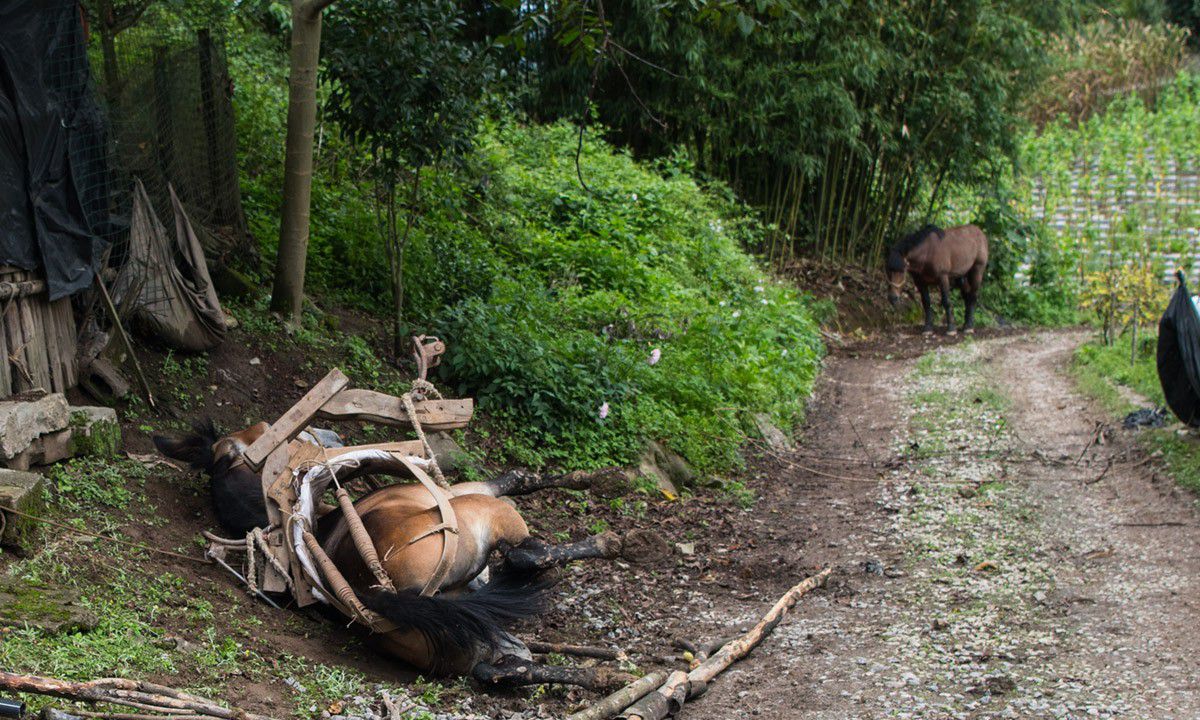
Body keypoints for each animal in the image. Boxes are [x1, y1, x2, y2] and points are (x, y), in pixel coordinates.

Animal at [152, 422, 628, 686]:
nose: (334, 434)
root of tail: (381, 590)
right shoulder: (475, 491)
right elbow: (518, 477)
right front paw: (600, 478)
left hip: (471, 647)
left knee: (508, 669)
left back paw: (602, 676)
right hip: (485, 515)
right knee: (525, 557)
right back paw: (609, 544)